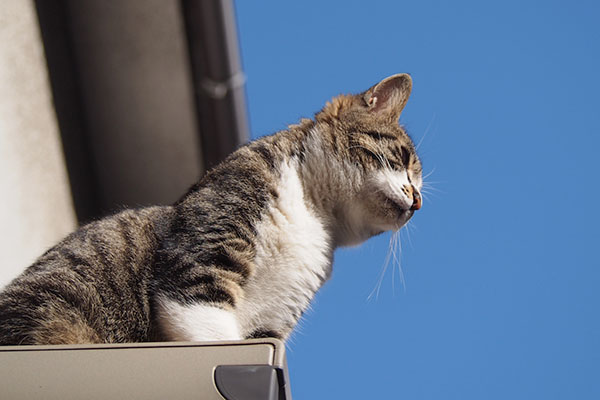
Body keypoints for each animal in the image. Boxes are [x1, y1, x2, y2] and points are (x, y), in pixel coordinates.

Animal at [0, 73, 422, 346]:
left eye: (420, 184)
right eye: (402, 158)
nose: (418, 201)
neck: (314, 215)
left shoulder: (274, 319)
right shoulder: (205, 251)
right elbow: (210, 328)